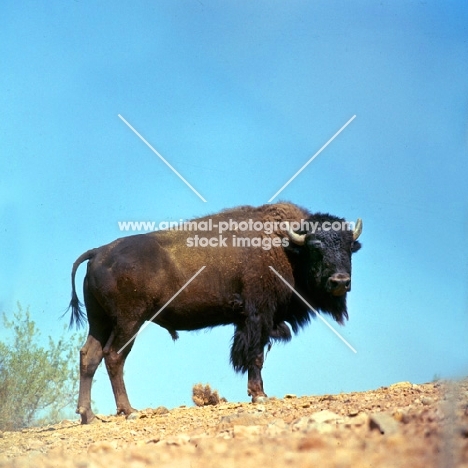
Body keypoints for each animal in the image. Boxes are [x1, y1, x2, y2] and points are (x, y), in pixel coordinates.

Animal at [68, 203, 362, 422]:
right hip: (129, 322)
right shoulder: (258, 317)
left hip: (100, 322)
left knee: (89, 356)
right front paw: (259, 394)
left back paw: (88, 416)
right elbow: (255, 356)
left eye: (349, 247)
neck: (286, 247)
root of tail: (99, 253)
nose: (339, 281)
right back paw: (129, 411)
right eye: (316, 248)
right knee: (114, 356)